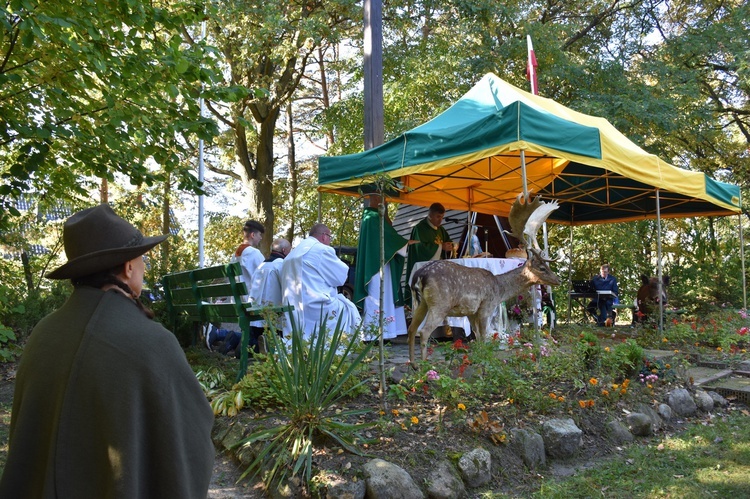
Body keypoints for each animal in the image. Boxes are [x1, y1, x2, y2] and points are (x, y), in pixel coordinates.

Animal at [408, 195, 560, 364]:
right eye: (542, 268)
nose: (558, 280)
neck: (499, 290)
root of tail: (419, 275)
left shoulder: (471, 312)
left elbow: (477, 336)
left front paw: (477, 357)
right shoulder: (486, 306)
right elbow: (483, 337)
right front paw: (485, 359)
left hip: (421, 303)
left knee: (411, 329)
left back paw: (413, 364)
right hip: (440, 304)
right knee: (423, 331)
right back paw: (424, 364)